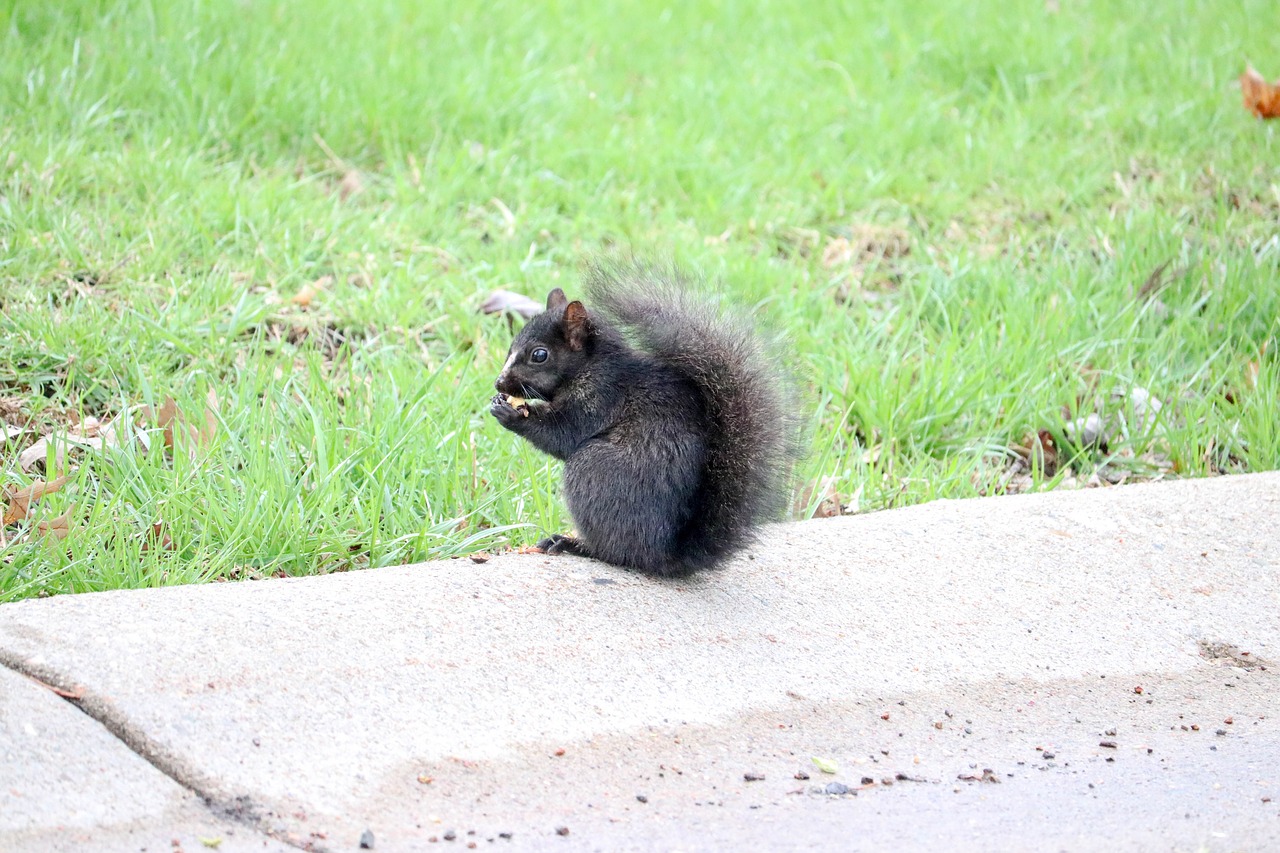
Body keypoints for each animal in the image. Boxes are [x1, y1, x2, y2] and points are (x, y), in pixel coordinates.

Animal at [488, 262, 798, 573]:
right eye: (511, 345)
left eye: (539, 355)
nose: (499, 384)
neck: (590, 366)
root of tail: (664, 555)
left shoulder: (600, 399)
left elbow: (562, 434)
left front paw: (512, 414)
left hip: (593, 471)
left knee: (616, 553)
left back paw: (574, 545)